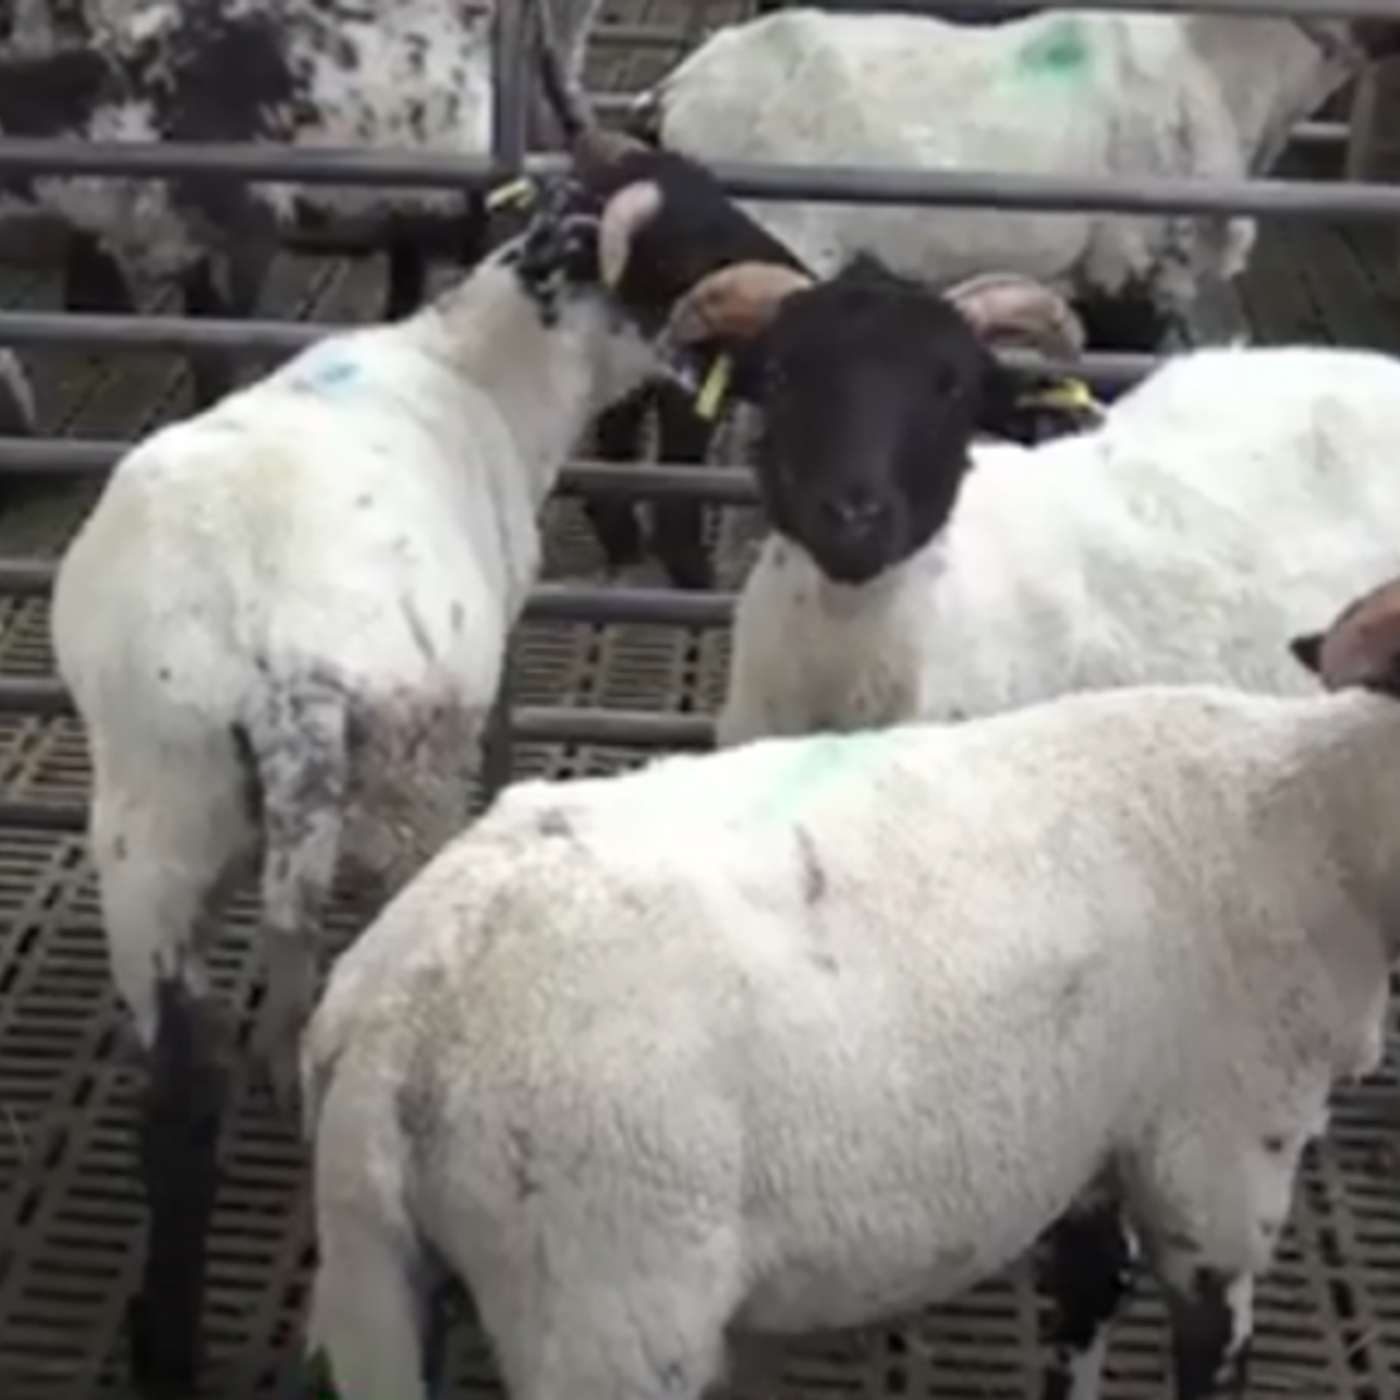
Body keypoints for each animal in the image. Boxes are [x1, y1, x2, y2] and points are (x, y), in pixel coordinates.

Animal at [48, 119, 773, 1397]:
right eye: (696, 227)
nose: (797, 281)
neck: (474, 374)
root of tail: (283, 663)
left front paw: (278, 1032)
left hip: (149, 813)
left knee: (180, 1091)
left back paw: (165, 1341)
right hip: (403, 785)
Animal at [301, 566, 1400, 1400]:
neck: (1311, 819)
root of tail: (401, 1007)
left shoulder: (1106, 1137)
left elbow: (1083, 1303)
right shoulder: (1218, 1160)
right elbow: (1207, 1349)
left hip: (381, 1262)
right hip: (604, 1293)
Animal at [586, 9, 1400, 589]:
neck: (1223, 69)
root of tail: (669, 101)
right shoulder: (1128, 266)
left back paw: (619, 532)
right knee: (682, 402)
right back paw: (685, 564)